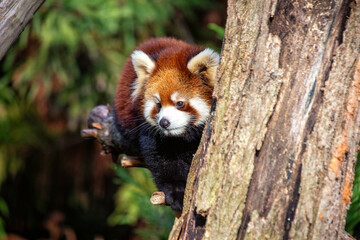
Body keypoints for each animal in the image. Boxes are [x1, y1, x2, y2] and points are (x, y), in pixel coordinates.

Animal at [114, 36, 219, 211]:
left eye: (179, 103)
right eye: (158, 105)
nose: (164, 122)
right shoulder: (151, 133)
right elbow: (164, 163)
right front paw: (176, 192)